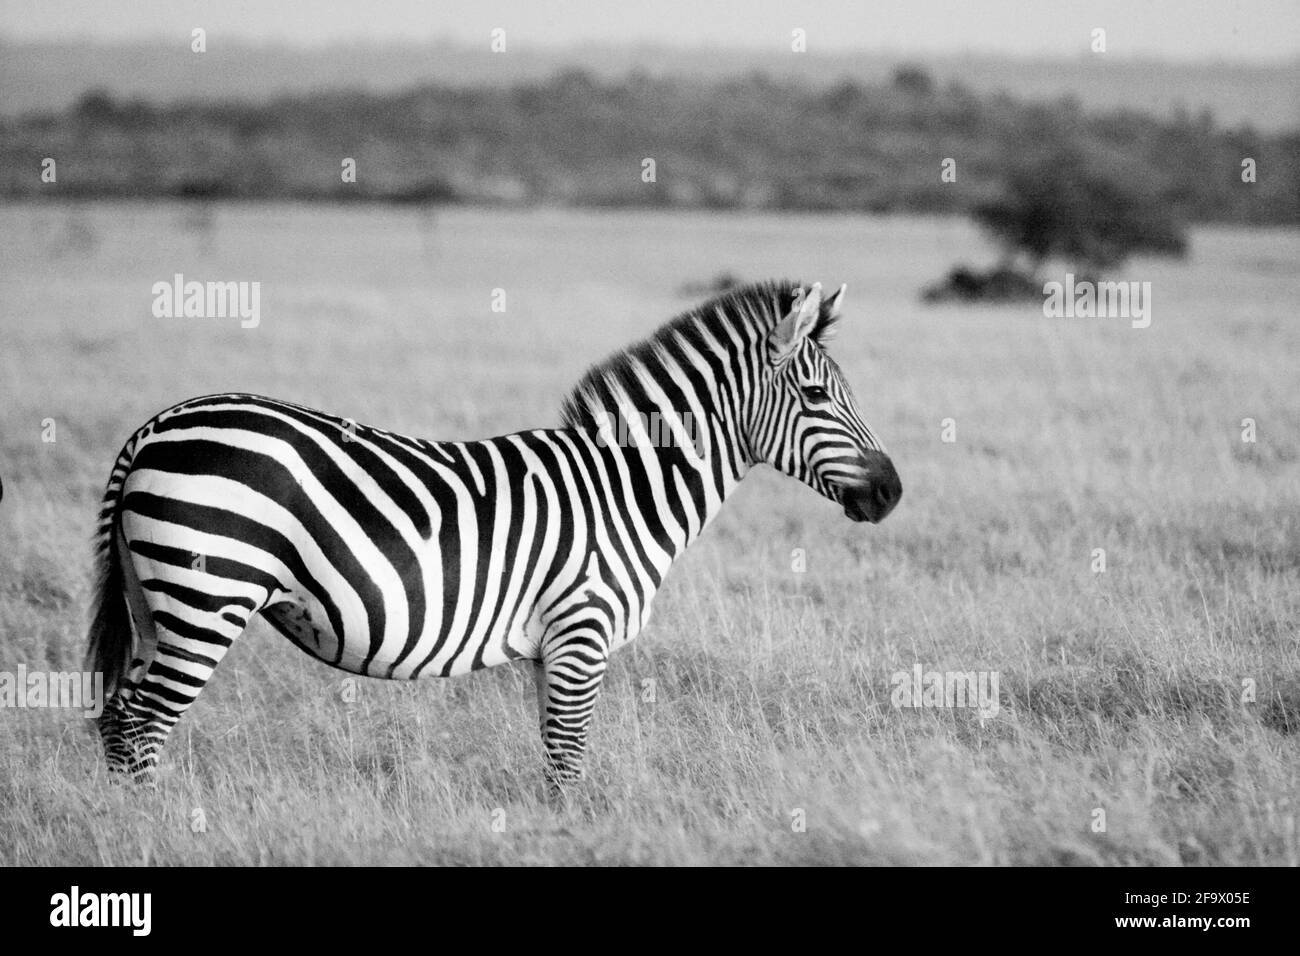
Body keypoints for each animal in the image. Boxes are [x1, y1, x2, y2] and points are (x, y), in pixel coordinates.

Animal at [86, 280, 899, 790]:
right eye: (818, 395)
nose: (892, 493)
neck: (628, 488)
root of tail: (156, 426)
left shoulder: (553, 646)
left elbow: (553, 757)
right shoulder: (582, 631)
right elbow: (568, 760)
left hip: (158, 601)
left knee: (117, 721)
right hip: (205, 593)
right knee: (144, 725)